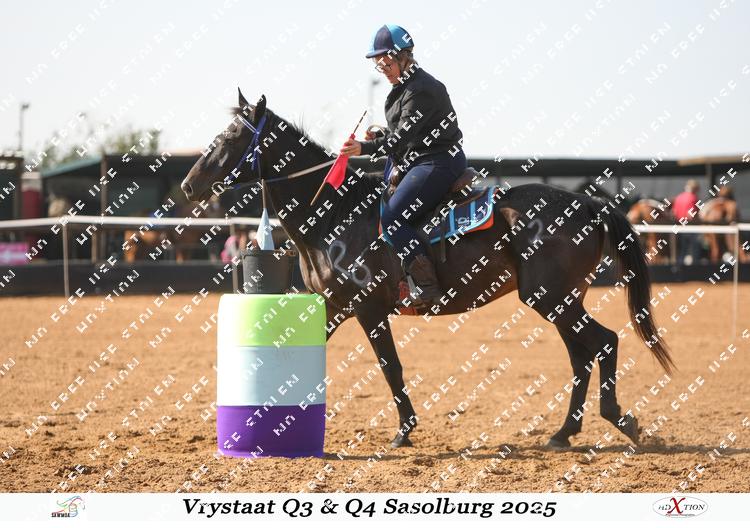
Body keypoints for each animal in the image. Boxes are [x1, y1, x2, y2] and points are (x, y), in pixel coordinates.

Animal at [181, 89, 675, 449]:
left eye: (229, 138)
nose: (188, 185)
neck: (334, 214)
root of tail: (588, 204)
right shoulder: (333, 305)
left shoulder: (369, 309)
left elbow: (392, 368)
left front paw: (403, 431)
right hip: (558, 299)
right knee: (582, 355)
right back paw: (563, 433)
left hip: (551, 297)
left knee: (604, 343)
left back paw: (620, 421)